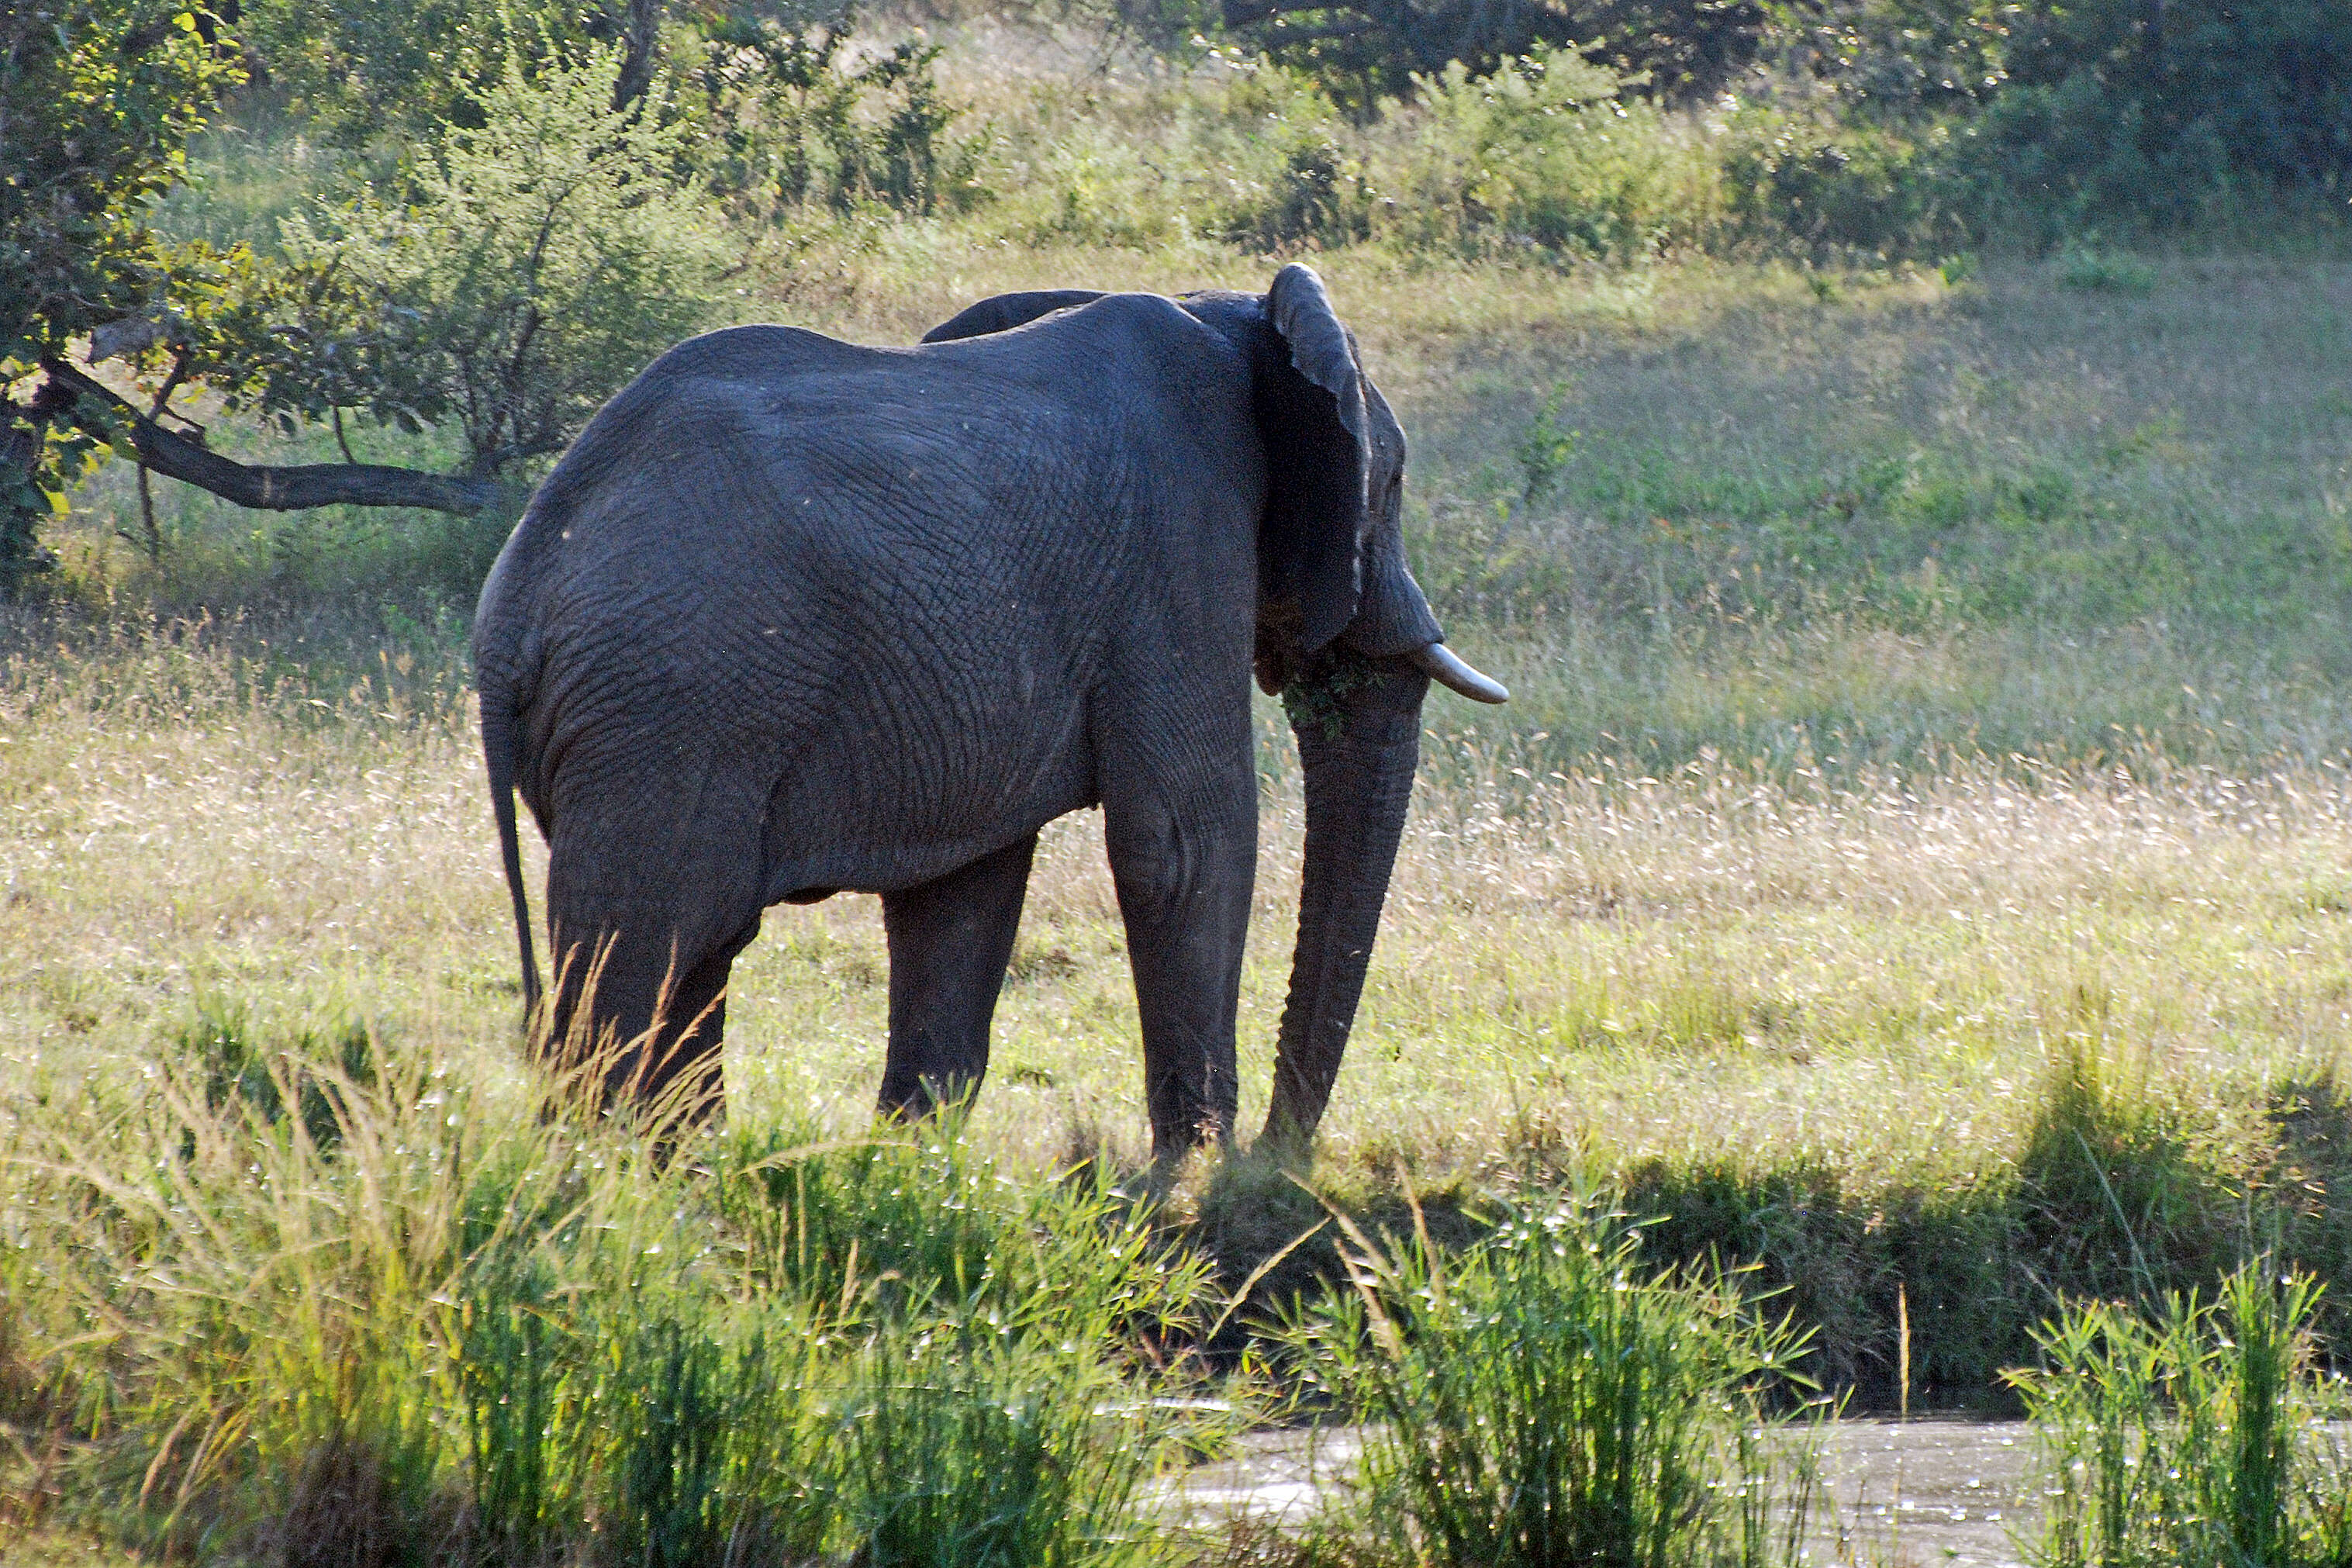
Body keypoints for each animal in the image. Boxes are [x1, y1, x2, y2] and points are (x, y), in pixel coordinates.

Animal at [472, 263, 1505, 1161]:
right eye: (1393, 483)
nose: (1277, 1158)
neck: (1233, 315)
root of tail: (511, 607)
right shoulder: (1180, 542)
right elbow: (1184, 842)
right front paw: (1192, 1168)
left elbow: (962, 889)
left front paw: (910, 1163)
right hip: (675, 713)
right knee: (643, 955)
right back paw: (606, 1182)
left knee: (696, 957)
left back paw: (680, 1172)